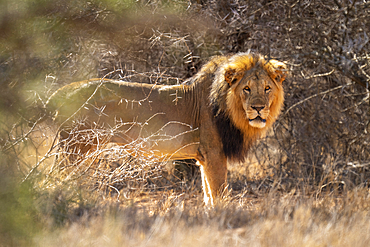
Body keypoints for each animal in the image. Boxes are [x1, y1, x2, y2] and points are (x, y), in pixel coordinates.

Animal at [44, 53, 286, 206]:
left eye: (267, 88)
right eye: (246, 89)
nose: (258, 108)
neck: (231, 109)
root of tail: (62, 92)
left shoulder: (205, 158)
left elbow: (208, 195)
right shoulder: (214, 153)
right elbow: (219, 194)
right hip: (76, 149)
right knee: (56, 179)